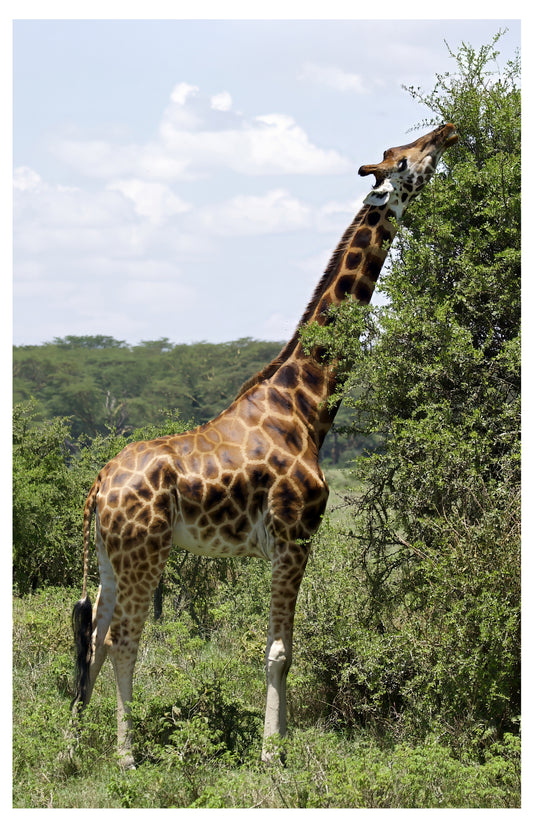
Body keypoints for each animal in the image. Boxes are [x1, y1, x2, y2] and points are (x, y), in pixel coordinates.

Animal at [71, 122, 457, 768]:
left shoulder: (288, 542)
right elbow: (279, 650)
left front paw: (275, 743)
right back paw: (126, 757)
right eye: (405, 159)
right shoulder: (294, 534)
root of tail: (99, 485)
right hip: (145, 551)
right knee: (123, 638)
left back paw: (72, 746)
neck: (307, 405)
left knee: (92, 635)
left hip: (109, 556)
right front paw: (271, 753)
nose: (448, 130)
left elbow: (283, 648)